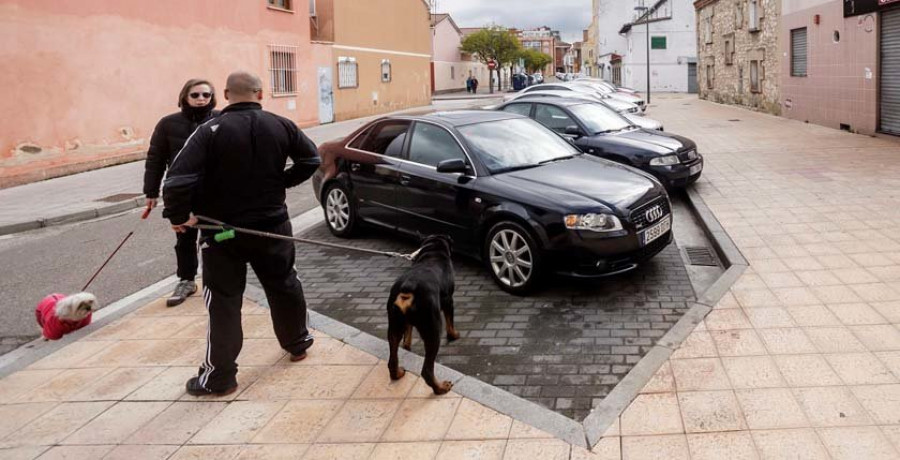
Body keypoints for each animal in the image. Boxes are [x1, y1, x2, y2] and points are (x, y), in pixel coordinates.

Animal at [384, 235, 458, 394]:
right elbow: (450, 321)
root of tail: (408, 288)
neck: (433, 251)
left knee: (392, 359)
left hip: (394, 325)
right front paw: (454, 335)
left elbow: (409, 331)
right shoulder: (449, 300)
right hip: (432, 329)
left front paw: (407, 345)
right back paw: (441, 388)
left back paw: (398, 373)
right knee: (427, 371)